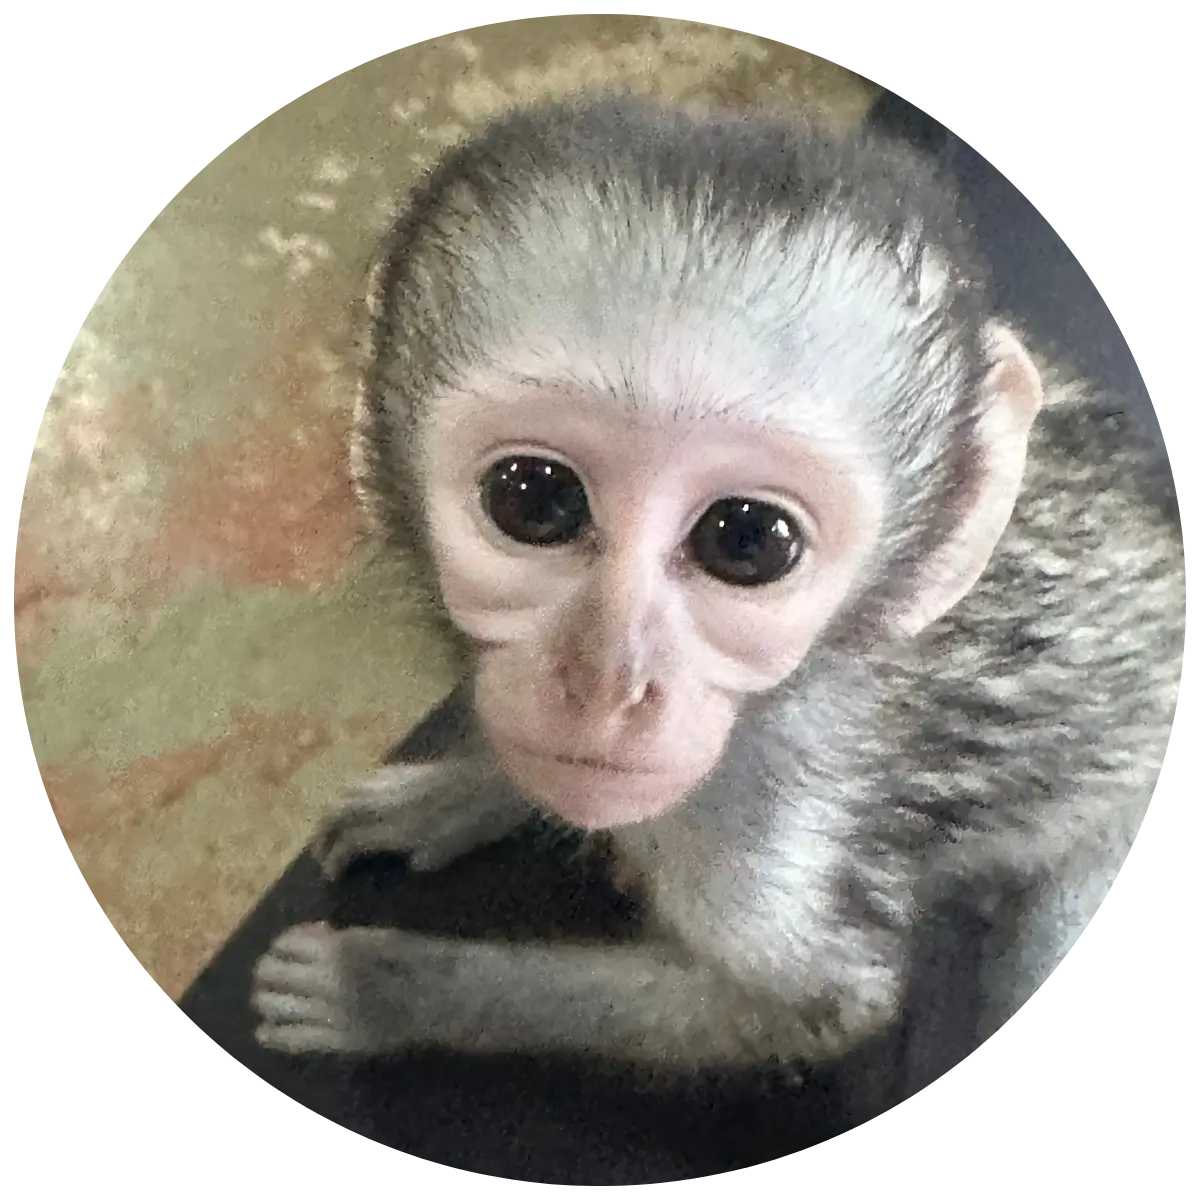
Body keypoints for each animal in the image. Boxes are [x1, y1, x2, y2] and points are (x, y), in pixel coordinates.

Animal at [249, 89, 1188, 1163]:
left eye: (748, 539)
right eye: (532, 498)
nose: (607, 679)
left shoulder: (769, 817)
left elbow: (814, 1008)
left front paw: (383, 989)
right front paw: (461, 791)